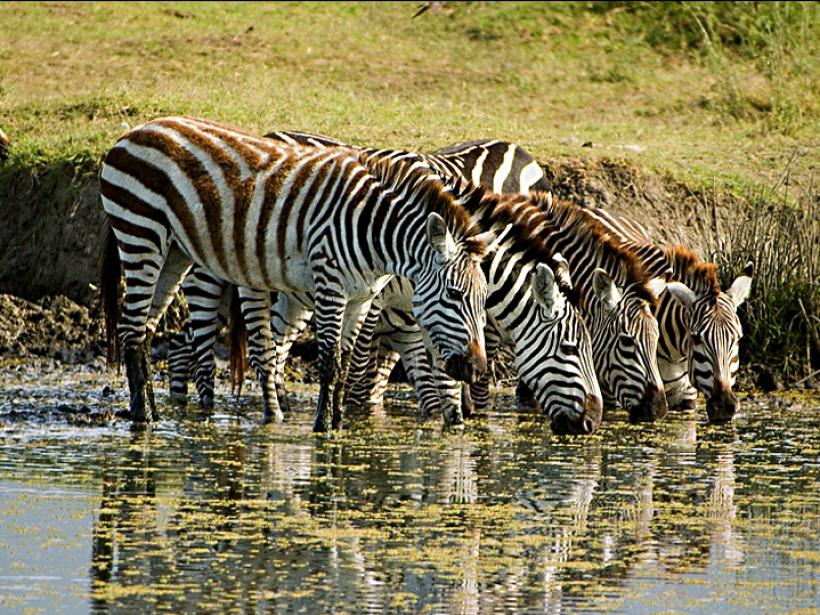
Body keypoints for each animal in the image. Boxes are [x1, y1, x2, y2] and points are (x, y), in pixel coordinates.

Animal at [100, 116, 494, 434]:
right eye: (453, 295)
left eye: (483, 300)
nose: (477, 370)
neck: (373, 231)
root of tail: (137, 130)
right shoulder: (330, 284)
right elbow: (330, 362)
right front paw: (323, 427)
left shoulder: (362, 297)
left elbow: (345, 362)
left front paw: (338, 424)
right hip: (141, 234)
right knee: (131, 329)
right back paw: (143, 421)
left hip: (175, 252)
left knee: (146, 329)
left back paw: (152, 413)